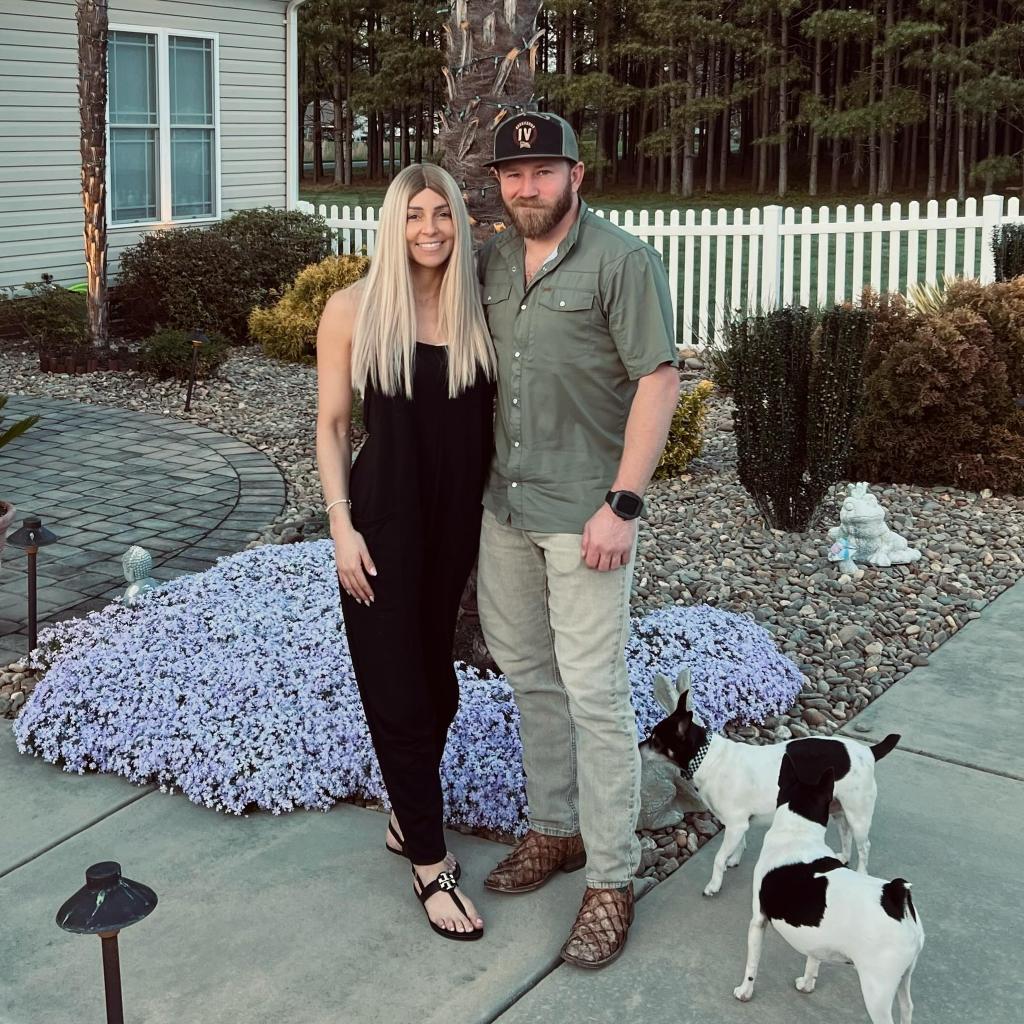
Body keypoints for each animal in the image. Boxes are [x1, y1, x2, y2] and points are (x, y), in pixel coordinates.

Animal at [638, 679, 897, 897]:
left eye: (655, 740)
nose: (638, 747)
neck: (707, 757)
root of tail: (867, 751)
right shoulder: (736, 825)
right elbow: (739, 844)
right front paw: (734, 858)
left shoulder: (735, 824)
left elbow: (719, 858)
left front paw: (714, 884)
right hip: (837, 808)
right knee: (845, 833)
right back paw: (842, 856)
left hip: (858, 814)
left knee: (864, 845)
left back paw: (861, 872)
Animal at [733, 753, 925, 1024]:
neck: (798, 833)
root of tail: (896, 897)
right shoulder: (816, 938)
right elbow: (813, 960)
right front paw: (806, 984)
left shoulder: (758, 921)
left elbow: (752, 963)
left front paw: (745, 992)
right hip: (904, 977)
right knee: (907, 1007)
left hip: (876, 990)